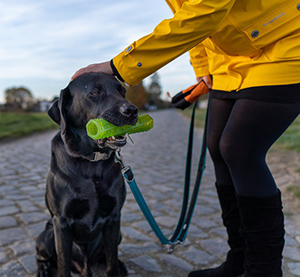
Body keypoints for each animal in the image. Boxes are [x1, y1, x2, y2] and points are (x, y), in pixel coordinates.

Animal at [35, 72, 138, 274]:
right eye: (95, 92)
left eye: (122, 91)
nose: (131, 110)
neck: (91, 162)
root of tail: (84, 266)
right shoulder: (61, 223)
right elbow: (63, 266)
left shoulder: (114, 217)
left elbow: (111, 260)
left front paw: (116, 268)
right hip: (46, 236)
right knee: (42, 257)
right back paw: (43, 269)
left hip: (118, 235)